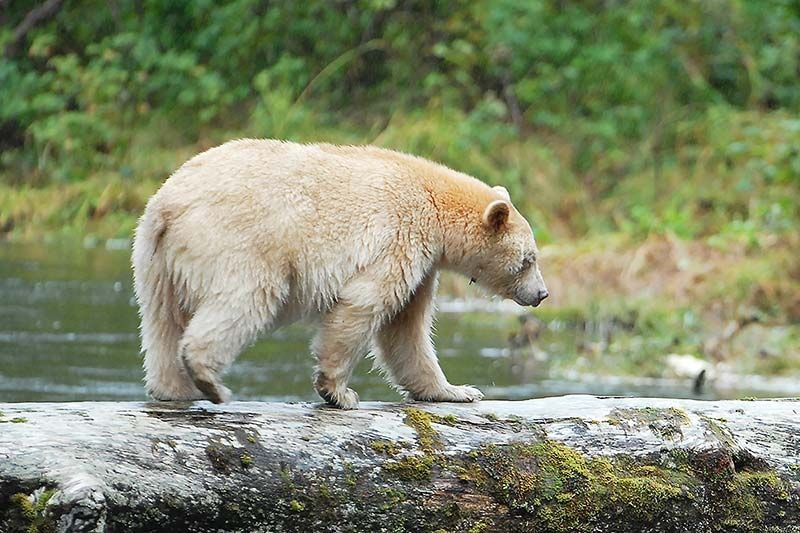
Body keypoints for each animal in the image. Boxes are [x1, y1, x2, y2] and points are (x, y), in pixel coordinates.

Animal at [132, 139, 548, 409]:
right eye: (529, 260)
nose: (541, 294)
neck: (434, 200)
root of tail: (168, 204)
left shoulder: (424, 262)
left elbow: (406, 331)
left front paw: (456, 391)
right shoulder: (402, 236)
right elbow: (367, 304)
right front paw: (339, 392)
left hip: (154, 258)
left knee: (161, 319)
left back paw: (173, 388)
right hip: (238, 240)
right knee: (246, 299)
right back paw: (209, 380)